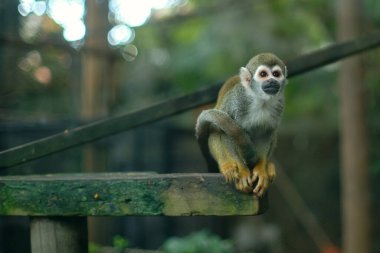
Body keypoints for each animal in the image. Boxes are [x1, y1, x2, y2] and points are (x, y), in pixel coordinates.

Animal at [194, 52, 286, 196]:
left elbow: (267, 134)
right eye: (263, 74)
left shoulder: (279, 106)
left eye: (276, 74)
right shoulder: (237, 102)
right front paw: (242, 170)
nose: (272, 81)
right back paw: (228, 165)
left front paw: (261, 169)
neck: (260, 100)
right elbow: (224, 131)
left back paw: (268, 166)